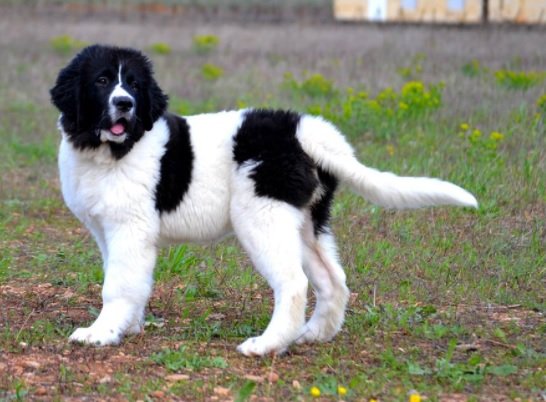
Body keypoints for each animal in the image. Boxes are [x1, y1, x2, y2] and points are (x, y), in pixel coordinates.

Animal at [51, 44, 474, 354]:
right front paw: (130, 326)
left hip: (262, 217)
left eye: (134, 86)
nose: (125, 104)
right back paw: (314, 335)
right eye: (103, 80)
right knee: (333, 279)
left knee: (294, 283)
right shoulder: (109, 232)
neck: (110, 151)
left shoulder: (129, 228)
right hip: (305, 223)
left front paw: (100, 333)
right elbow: (131, 280)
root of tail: (302, 131)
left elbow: (117, 284)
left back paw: (267, 345)